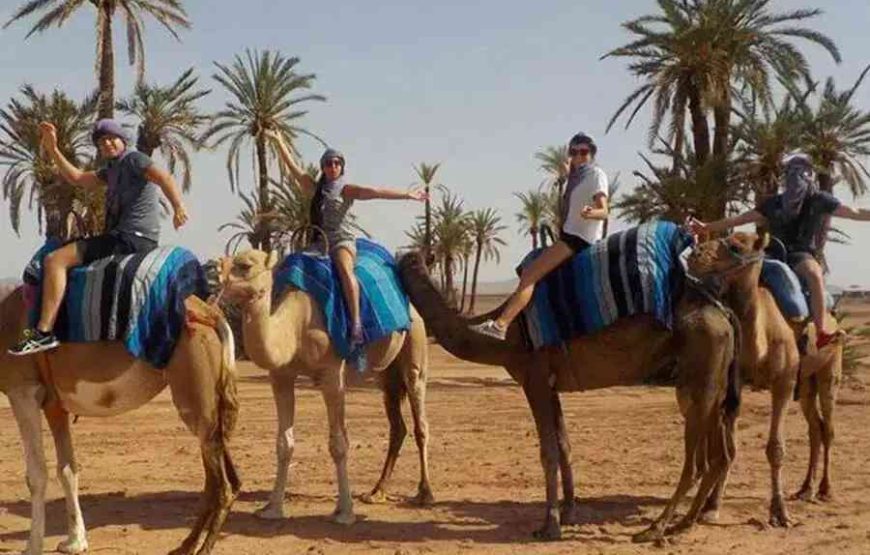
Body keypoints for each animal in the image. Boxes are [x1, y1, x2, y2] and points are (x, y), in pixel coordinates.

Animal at [0, 285, 240, 555]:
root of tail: (212, 313)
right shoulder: (55, 405)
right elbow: (68, 470)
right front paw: (74, 542)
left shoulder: (22, 390)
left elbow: (36, 475)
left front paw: (32, 546)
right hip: (211, 399)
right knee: (219, 475)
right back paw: (185, 546)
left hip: (195, 389)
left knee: (221, 483)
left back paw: (201, 548)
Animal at [218, 249, 432, 525]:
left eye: (245, 265)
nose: (216, 277)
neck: (295, 326)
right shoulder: (280, 376)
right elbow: (284, 443)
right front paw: (272, 508)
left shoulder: (332, 376)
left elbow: (339, 444)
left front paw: (345, 512)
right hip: (387, 374)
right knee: (398, 426)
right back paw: (376, 492)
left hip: (416, 344)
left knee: (420, 419)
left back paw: (425, 493)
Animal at [396, 252, 741, 542]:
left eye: (404, 262)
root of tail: (723, 313)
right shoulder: (551, 385)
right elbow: (564, 445)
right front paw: (569, 511)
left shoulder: (534, 377)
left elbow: (547, 451)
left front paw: (549, 526)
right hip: (712, 380)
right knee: (719, 454)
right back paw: (685, 524)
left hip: (702, 371)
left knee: (697, 462)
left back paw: (655, 529)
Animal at [686, 232, 844, 525]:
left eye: (736, 247)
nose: (695, 255)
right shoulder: (734, 385)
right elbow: (730, 448)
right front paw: (711, 506)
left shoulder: (783, 382)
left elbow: (776, 448)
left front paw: (779, 513)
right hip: (806, 382)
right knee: (814, 427)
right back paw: (805, 488)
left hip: (829, 370)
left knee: (828, 426)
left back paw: (825, 490)